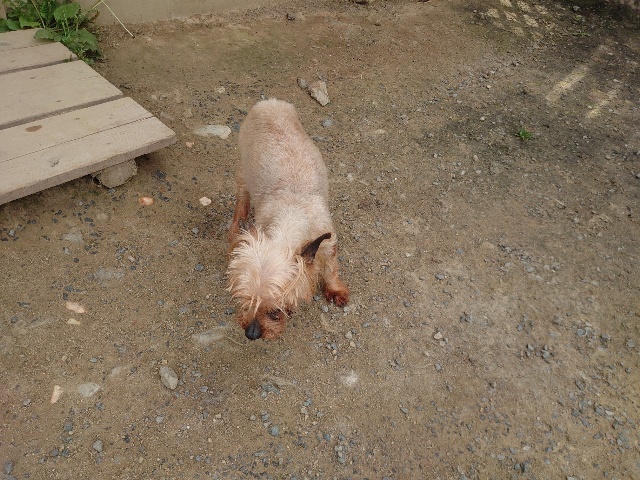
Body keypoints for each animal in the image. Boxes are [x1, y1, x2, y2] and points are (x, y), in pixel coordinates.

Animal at [226, 99, 349, 340]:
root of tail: (268, 102)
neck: (292, 213)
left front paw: (336, 290)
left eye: (275, 310)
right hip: (244, 168)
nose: (251, 334)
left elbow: (330, 269)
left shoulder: (328, 242)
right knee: (241, 199)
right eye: (246, 301)